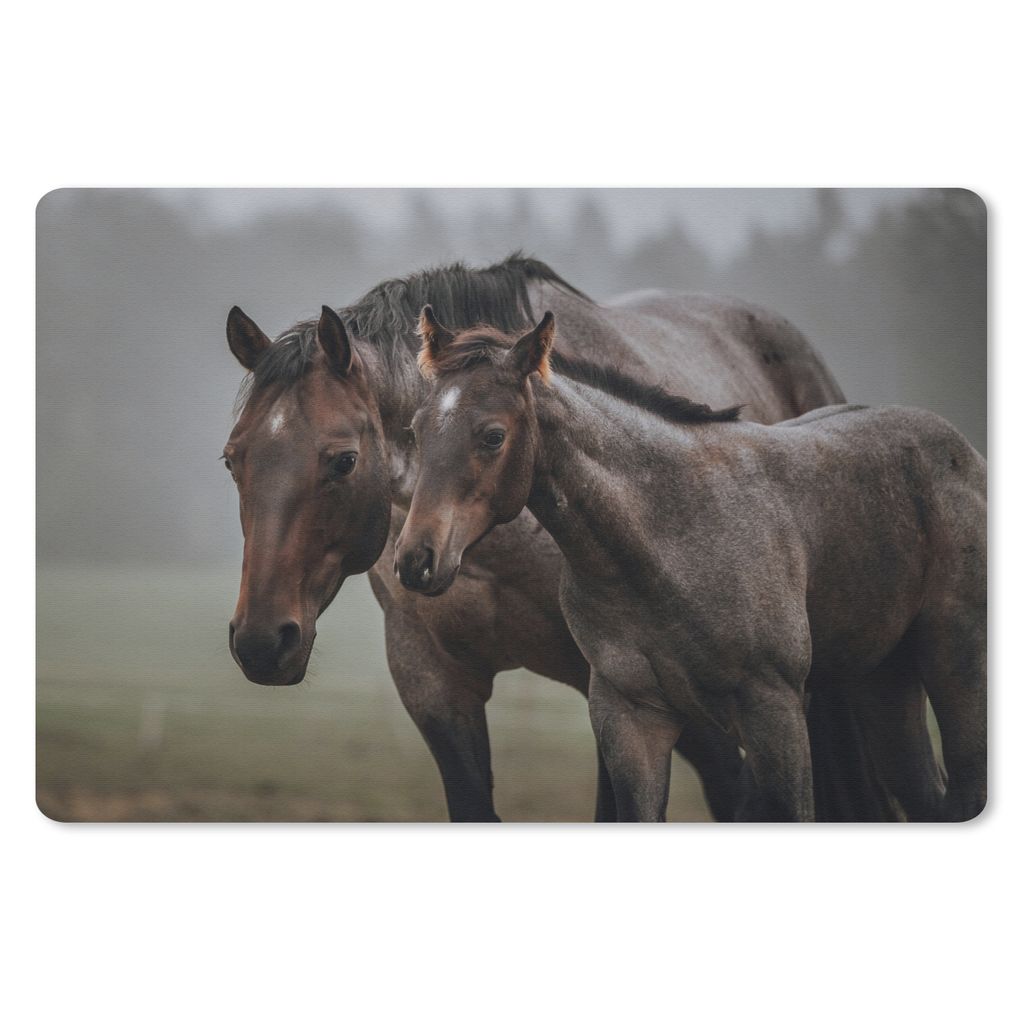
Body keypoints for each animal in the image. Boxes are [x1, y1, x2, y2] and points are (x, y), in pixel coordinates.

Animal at [394, 312, 987, 822]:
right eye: (417, 430)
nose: (415, 560)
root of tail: (962, 452)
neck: (663, 538)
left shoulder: (775, 712)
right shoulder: (631, 717)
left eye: (492, 435)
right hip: (883, 681)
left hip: (955, 667)